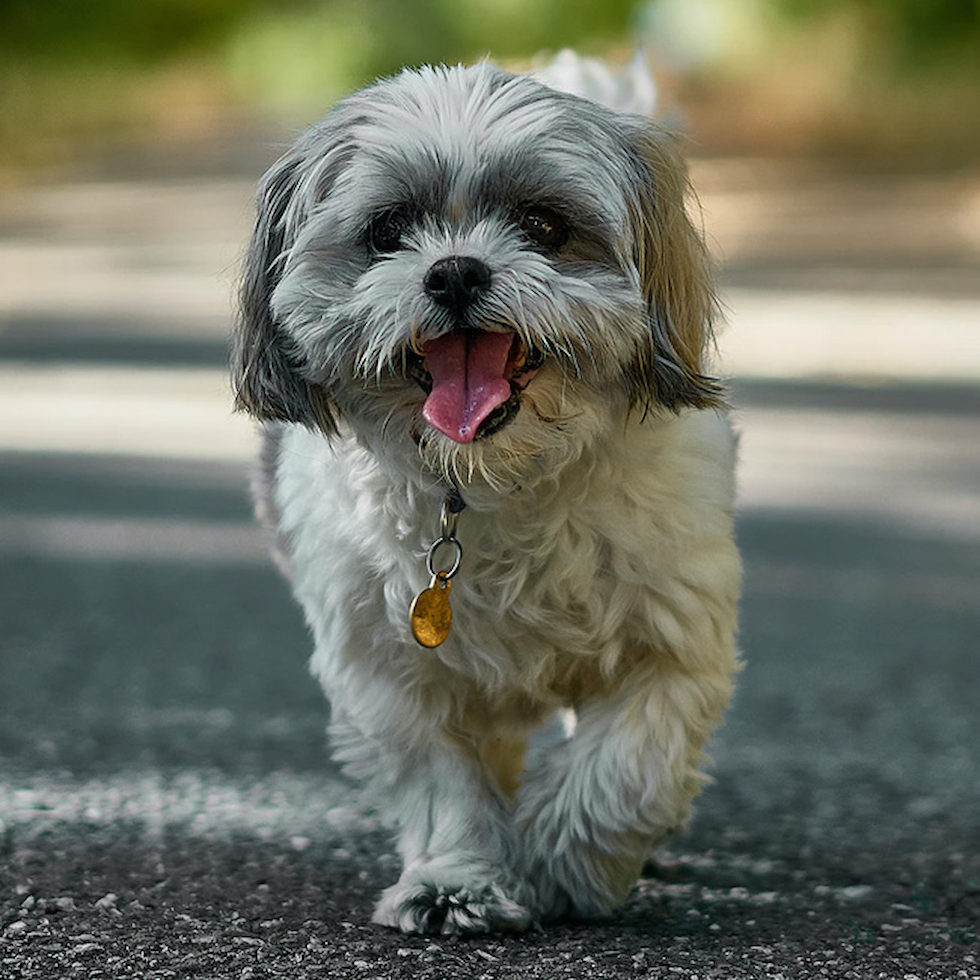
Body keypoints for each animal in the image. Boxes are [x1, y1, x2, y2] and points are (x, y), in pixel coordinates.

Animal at [234, 55, 740, 936]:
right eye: (387, 231)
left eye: (543, 225)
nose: (456, 270)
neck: (492, 483)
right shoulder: (389, 669)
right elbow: (443, 782)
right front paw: (455, 880)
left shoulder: (671, 642)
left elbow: (626, 768)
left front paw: (566, 865)